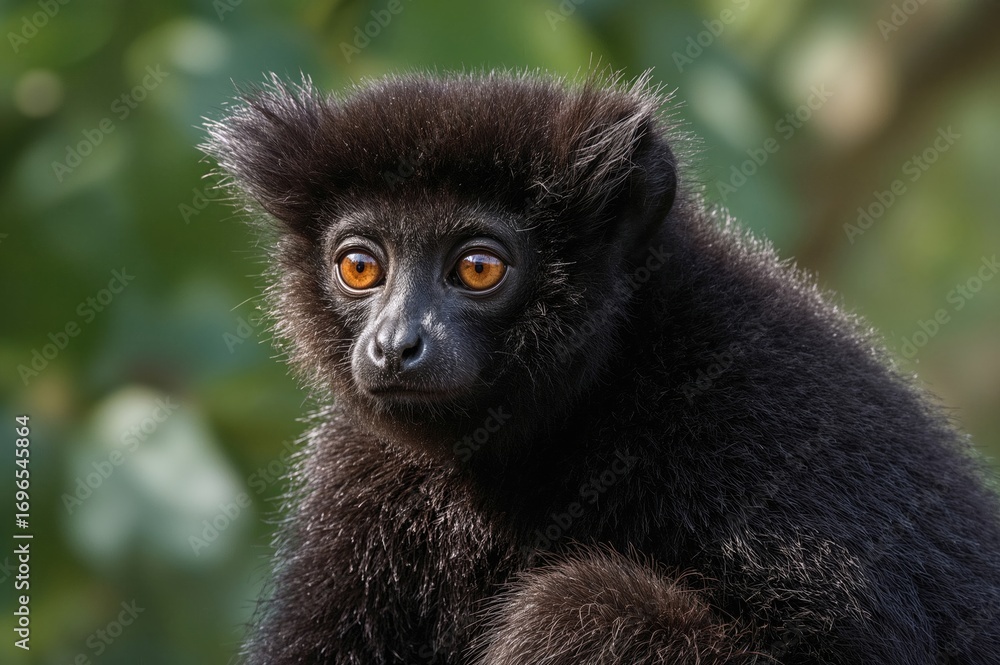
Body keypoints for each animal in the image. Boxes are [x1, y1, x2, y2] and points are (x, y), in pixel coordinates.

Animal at [202, 70, 1000, 664]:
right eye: (360, 267)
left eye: (478, 268)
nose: (396, 343)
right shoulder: (363, 471)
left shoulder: (765, 419)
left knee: (584, 605)